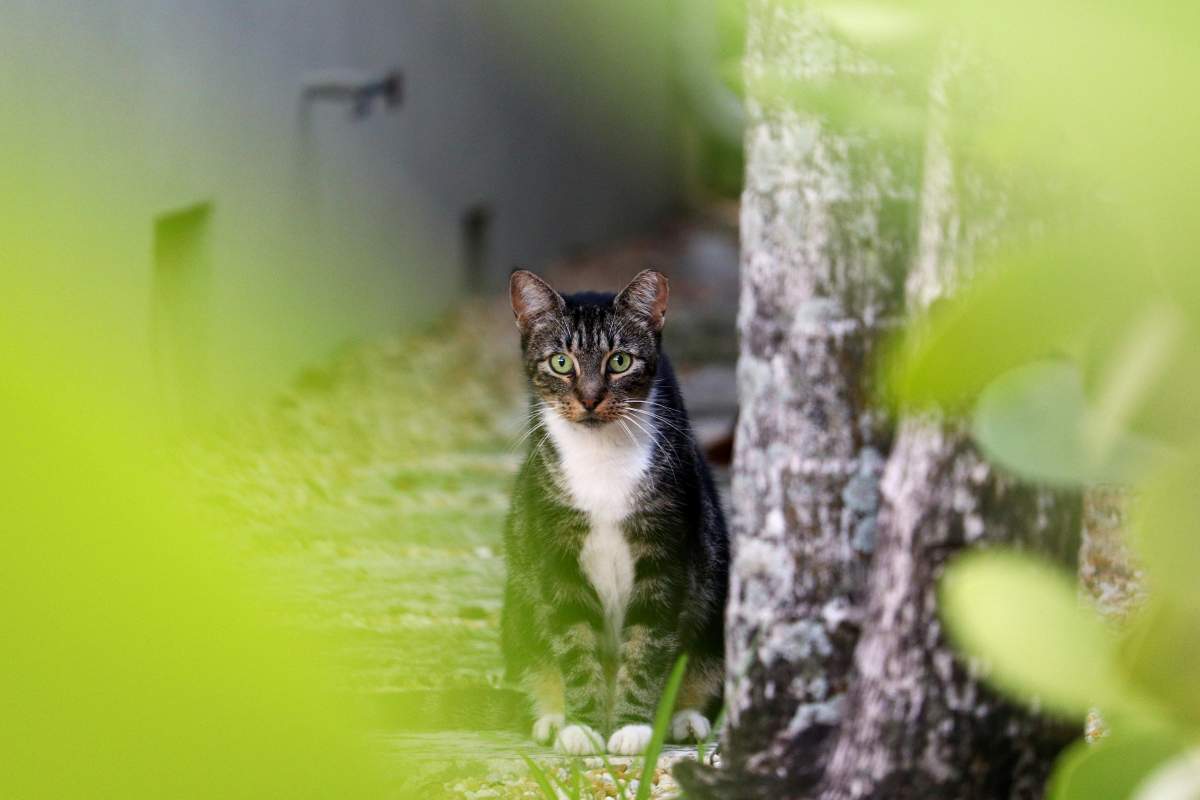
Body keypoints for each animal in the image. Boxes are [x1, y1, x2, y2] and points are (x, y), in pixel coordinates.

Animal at [499, 268, 724, 758]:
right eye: (560, 362)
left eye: (619, 361)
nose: (589, 398)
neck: (601, 455)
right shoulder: (557, 553)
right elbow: (573, 638)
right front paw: (583, 728)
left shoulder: (666, 552)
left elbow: (648, 642)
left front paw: (633, 728)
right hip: (518, 613)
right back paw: (552, 716)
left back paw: (684, 718)